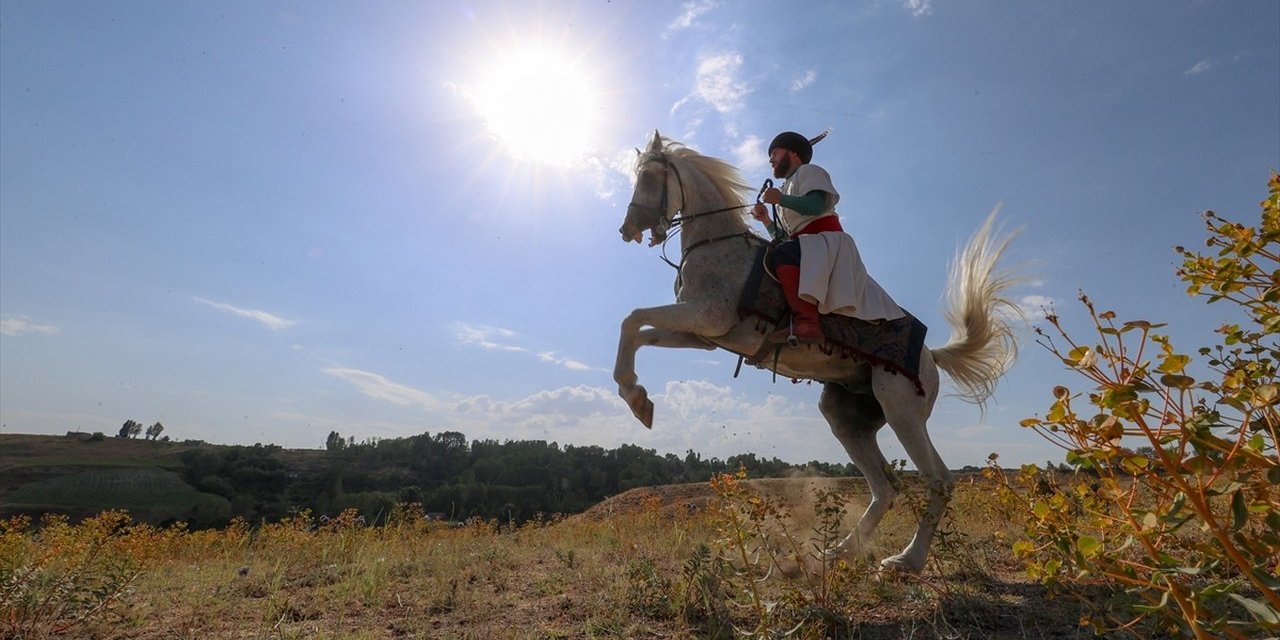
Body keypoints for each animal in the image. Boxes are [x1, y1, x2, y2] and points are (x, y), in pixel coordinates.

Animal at [611, 132, 1018, 573]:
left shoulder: (705, 316)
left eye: (649, 177)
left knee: (938, 481)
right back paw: (841, 550)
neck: (716, 243)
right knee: (885, 486)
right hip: (848, 418)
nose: (627, 229)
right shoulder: (704, 333)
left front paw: (635, 397)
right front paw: (639, 400)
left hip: (902, 409)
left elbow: (632, 319)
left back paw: (906, 560)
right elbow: (638, 331)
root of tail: (931, 357)